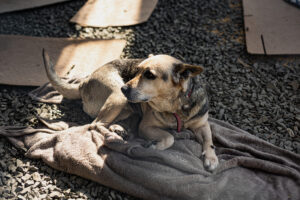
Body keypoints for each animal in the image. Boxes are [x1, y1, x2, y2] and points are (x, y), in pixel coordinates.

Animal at [42, 50, 218, 171]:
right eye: (137, 70)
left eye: (149, 75)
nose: (124, 88)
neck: (175, 106)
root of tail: (83, 82)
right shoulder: (146, 126)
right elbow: (170, 138)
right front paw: (155, 146)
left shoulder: (202, 125)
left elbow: (209, 140)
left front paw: (212, 158)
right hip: (118, 98)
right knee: (95, 124)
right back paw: (114, 136)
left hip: (127, 106)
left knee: (105, 122)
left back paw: (118, 129)